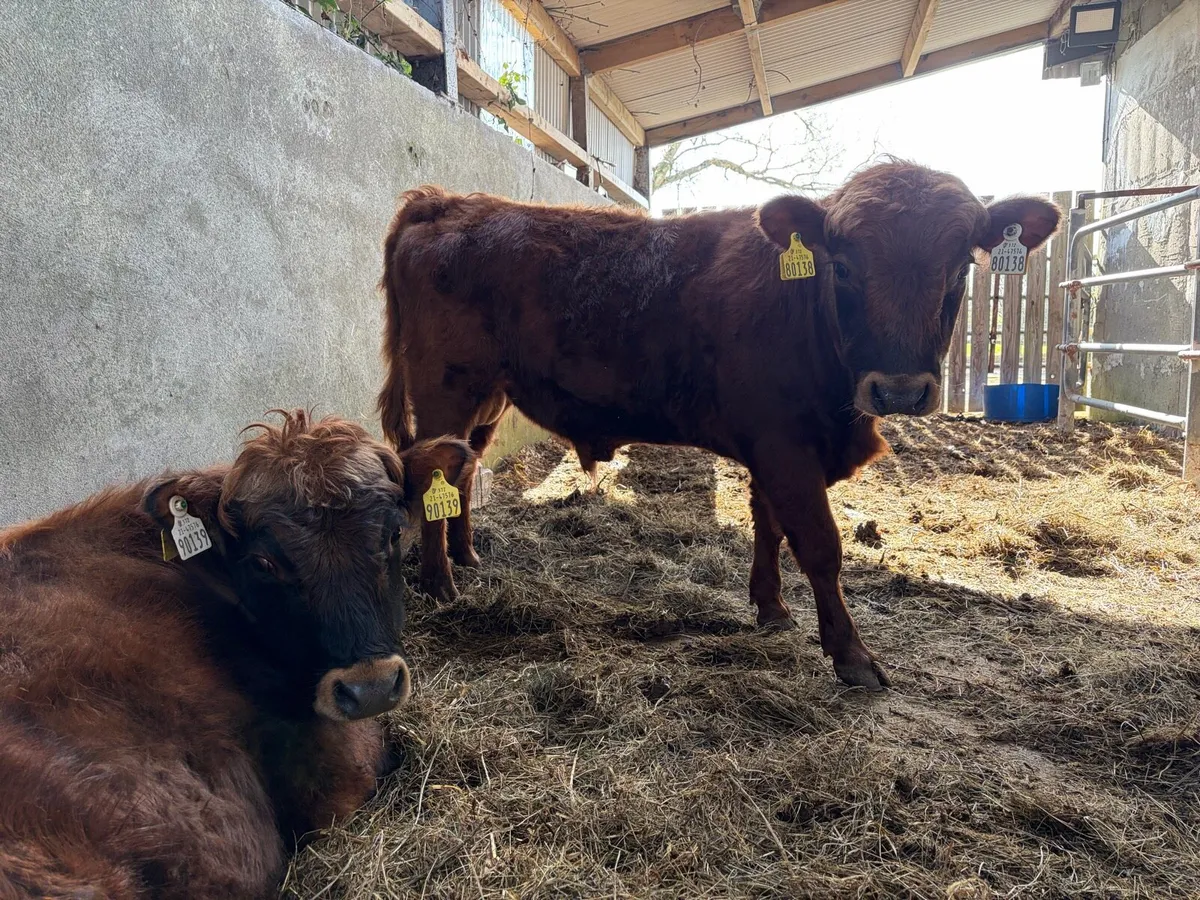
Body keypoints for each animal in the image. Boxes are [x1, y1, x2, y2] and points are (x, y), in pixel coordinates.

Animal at [377, 162, 1060, 690]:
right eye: (842, 266)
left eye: (959, 268)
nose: (898, 389)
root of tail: (446, 201)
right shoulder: (786, 447)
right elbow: (820, 545)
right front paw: (852, 656)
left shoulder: (775, 449)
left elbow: (769, 526)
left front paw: (771, 607)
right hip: (446, 388)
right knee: (434, 470)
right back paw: (439, 583)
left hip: (489, 398)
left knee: (463, 470)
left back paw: (466, 557)